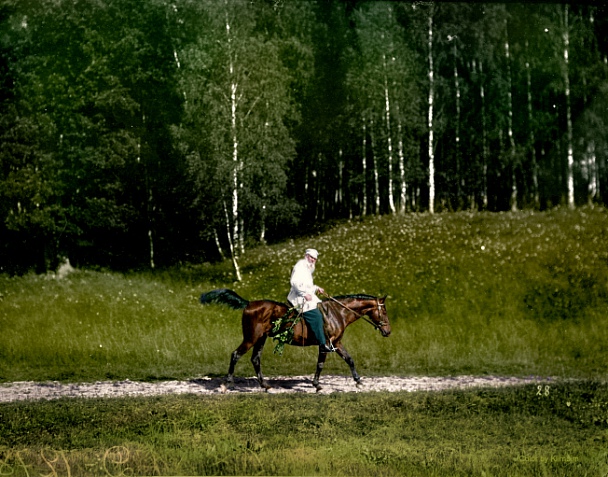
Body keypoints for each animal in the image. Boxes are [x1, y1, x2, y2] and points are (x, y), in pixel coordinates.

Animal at [200, 288, 390, 388]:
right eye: (385, 311)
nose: (388, 332)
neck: (338, 313)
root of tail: (249, 303)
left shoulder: (336, 343)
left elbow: (349, 359)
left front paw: (358, 381)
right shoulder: (325, 345)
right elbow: (320, 364)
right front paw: (316, 384)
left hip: (261, 338)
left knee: (255, 359)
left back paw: (264, 385)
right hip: (251, 338)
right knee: (236, 354)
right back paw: (228, 382)